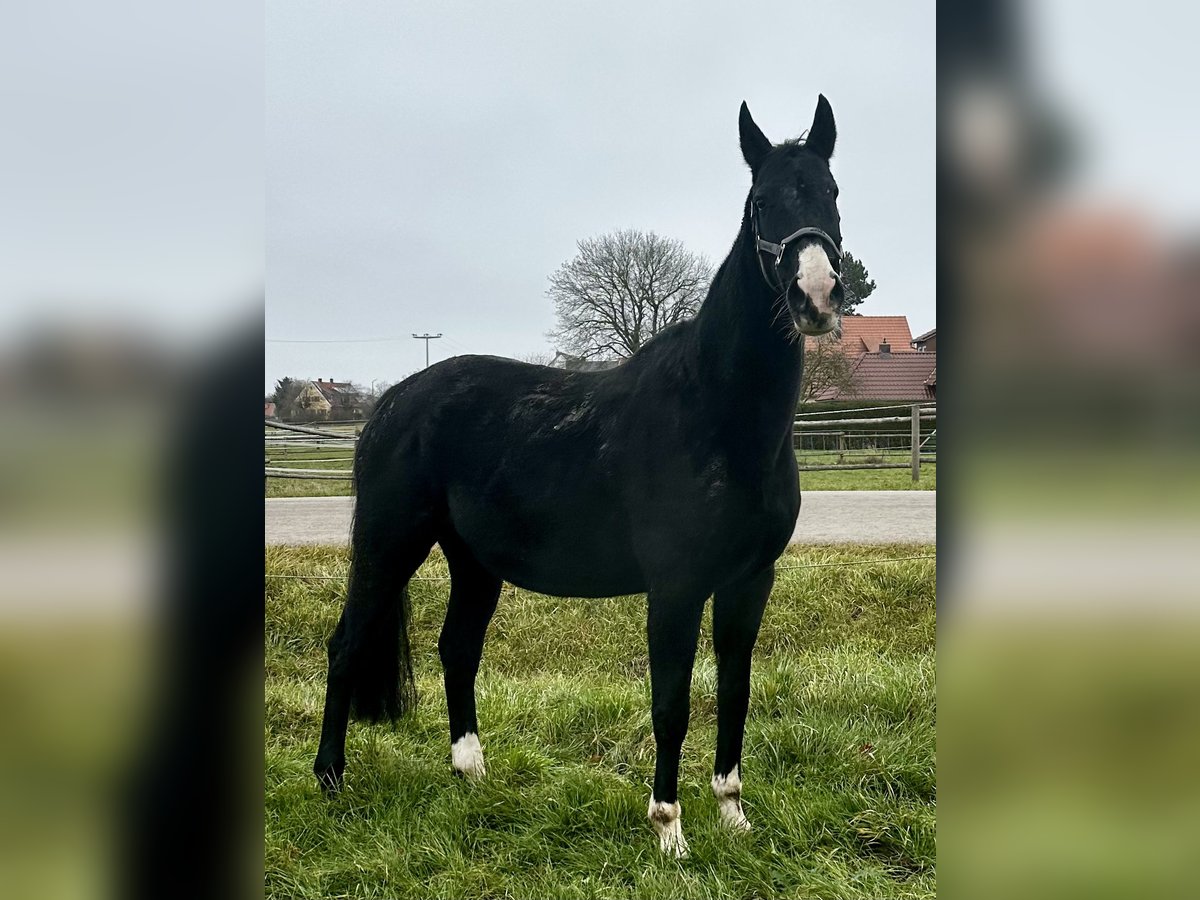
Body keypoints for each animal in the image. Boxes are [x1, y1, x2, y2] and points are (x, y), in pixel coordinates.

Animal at [314, 95, 849, 854]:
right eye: (761, 201)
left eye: (830, 192)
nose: (817, 295)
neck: (716, 414)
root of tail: (394, 401)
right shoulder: (676, 587)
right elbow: (672, 702)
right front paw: (669, 831)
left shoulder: (750, 581)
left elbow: (735, 693)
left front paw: (733, 815)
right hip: (389, 545)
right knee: (347, 646)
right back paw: (331, 779)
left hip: (473, 562)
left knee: (457, 650)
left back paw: (471, 773)